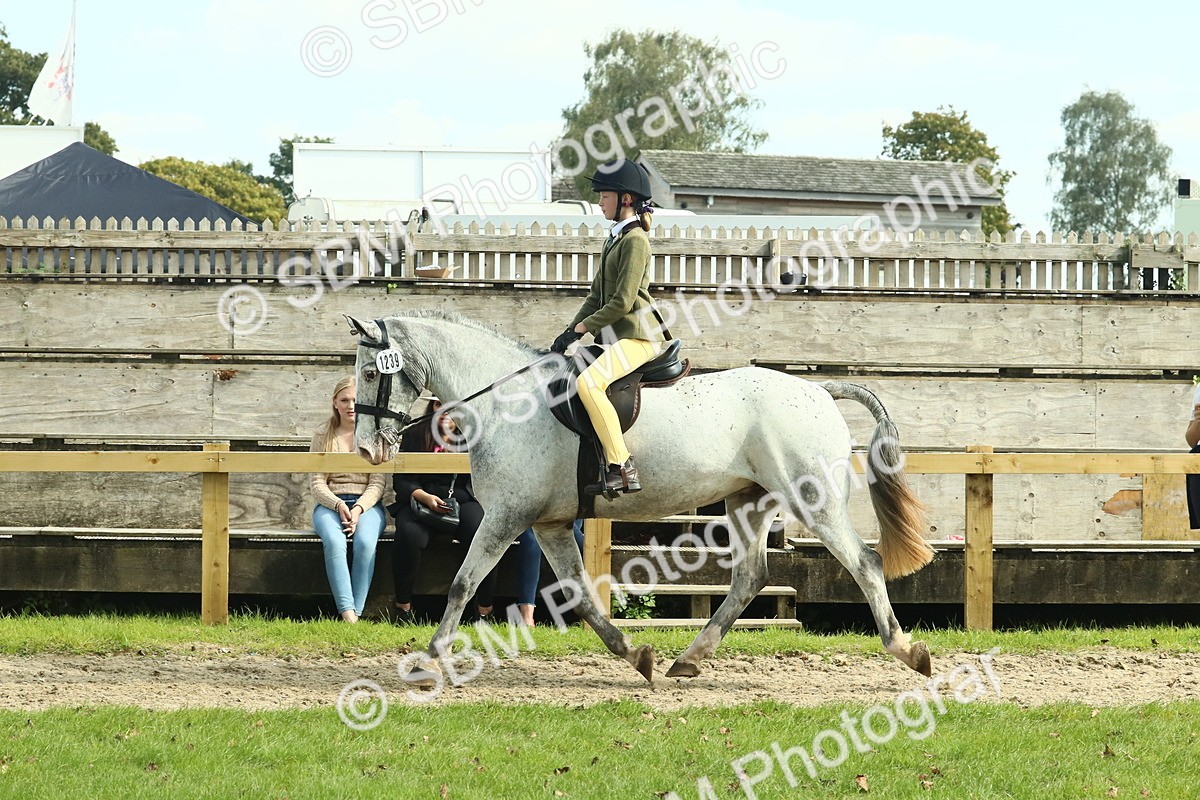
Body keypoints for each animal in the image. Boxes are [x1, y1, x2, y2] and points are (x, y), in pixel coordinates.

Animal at [347, 310, 935, 685]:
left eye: (372, 373)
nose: (366, 449)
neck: (505, 401)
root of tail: (817, 389)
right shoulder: (549, 524)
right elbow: (582, 597)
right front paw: (636, 656)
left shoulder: (506, 517)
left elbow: (462, 585)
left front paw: (428, 659)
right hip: (745, 502)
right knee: (750, 578)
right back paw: (689, 660)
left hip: (812, 500)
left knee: (864, 562)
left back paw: (908, 652)